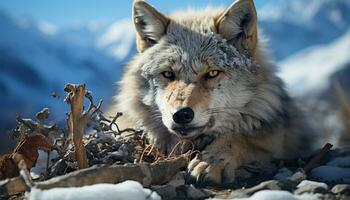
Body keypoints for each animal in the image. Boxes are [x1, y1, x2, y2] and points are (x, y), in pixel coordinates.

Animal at [108, 0, 314, 184]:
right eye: (168, 74)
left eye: (212, 73)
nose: (181, 114)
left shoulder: (280, 137)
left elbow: (240, 138)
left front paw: (212, 161)